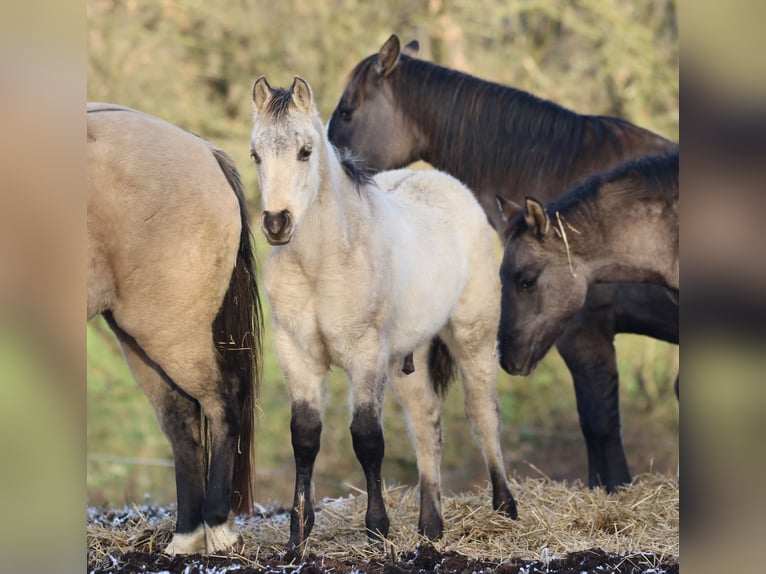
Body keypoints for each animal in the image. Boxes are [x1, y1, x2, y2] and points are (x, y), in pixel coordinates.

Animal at [87, 103, 263, 555]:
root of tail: (204, 150)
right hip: (141, 342)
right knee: (181, 422)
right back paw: (186, 537)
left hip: (169, 334)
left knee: (222, 402)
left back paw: (217, 527)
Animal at [250, 76, 517, 547]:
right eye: (256, 154)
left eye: (305, 150)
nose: (277, 223)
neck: (322, 263)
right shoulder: (297, 354)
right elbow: (305, 437)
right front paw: (298, 534)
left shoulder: (365, 353)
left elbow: (367, 438)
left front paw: (377, 528)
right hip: (406, 358)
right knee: (426, 424)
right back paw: (431, 526)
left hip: (473, 337)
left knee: (483, 413)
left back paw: (504, 507)